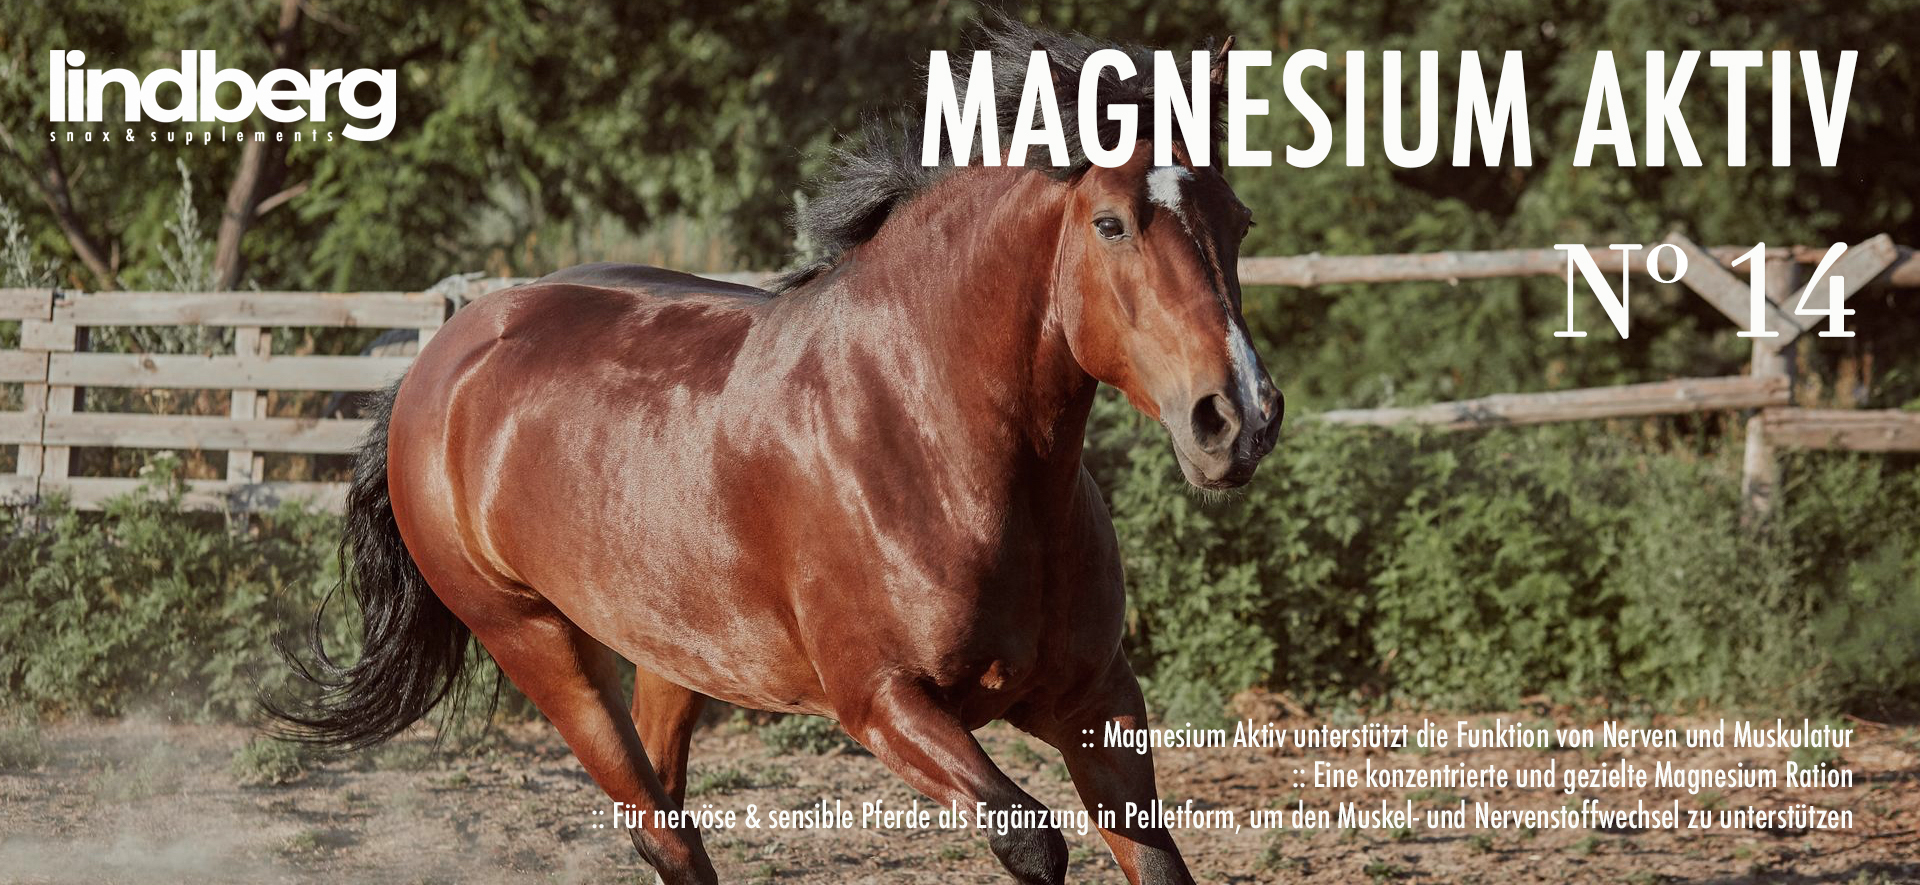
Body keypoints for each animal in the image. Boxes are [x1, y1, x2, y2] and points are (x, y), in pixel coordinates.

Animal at [274, 24, 1280, 885]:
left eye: (1238, 217)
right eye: (1111, 223)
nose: (1237, 418)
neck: (931, 439)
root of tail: (439, 361)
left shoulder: (1096, 700)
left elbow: (1157, 859)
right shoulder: (883, 703)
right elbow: (1031, 841)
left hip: (674, 652)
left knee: (667, 821)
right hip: (538, 645)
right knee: (660, 828)